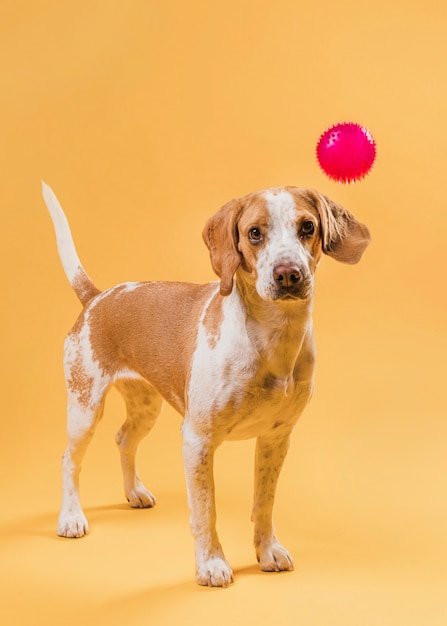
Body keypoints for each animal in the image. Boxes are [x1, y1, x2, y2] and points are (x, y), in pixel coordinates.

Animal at [43, 180, 372, 584]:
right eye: (254, 233)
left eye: (307, 226)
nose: (288, 274)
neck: (273, 337)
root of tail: (98, 297)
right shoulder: (197, 440)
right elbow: (205, 510)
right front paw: (211, 564)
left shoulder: (276, 439)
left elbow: (264, 502)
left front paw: (267, 551)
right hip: (84, 408)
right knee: (69, 460)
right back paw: (71, 517)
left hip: (146, 407)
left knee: (123, 439)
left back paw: (134, 492)